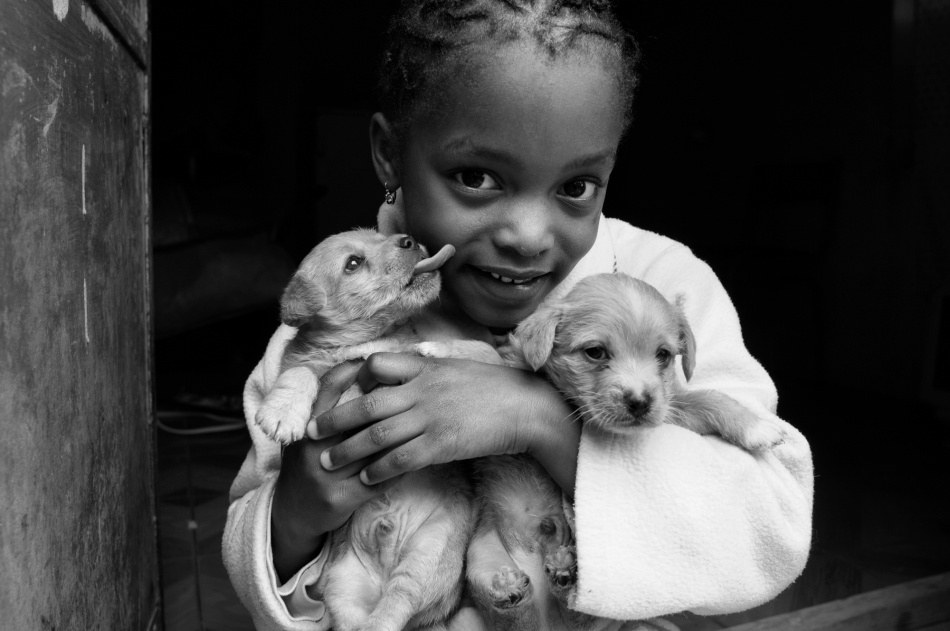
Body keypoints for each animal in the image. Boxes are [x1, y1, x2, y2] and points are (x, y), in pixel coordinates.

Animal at [255, 228, 485, 631]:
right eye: (352, 263)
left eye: (382, 235)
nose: (409, 239)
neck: (372, 341)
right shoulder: (306, 364)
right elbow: (299, 373)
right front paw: (282, 413)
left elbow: (475, 352)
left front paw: (441, 349)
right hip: (342, 583)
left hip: (429, 553)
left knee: (399, 599)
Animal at [466, 272, 785, 631]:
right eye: (594, 352)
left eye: (663, 354)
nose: (639, 402)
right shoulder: (515, 359)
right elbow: (487, 354)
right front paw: (442, 349)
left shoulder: (671, 409)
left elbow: (708, 398)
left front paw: (756, 425)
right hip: (480, 554)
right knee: (507, 607)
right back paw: (509, 586)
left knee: (572, 610)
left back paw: (563, 571)